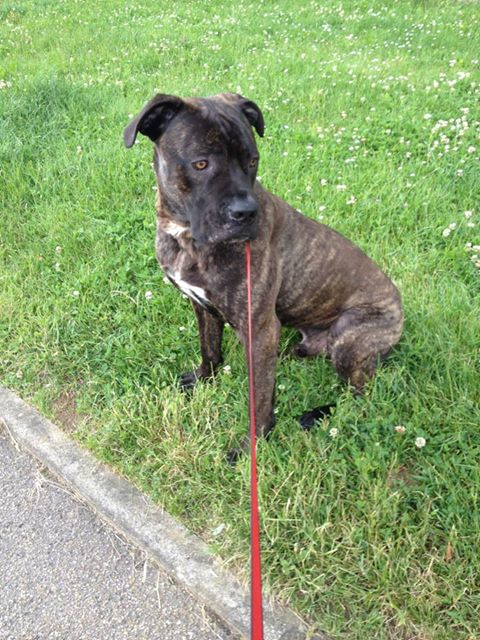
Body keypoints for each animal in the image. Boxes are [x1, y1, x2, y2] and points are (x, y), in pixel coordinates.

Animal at [123, 92, 402, 458]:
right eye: (201, 164)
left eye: (252, 161)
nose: (245, 213)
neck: (186, 237)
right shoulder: (204, 308)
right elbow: (210, 349)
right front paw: (203, 379)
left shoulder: (259, 326)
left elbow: (260, 398)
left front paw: (252, 445)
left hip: (349, 336)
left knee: (358, 391)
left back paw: (319, 413)